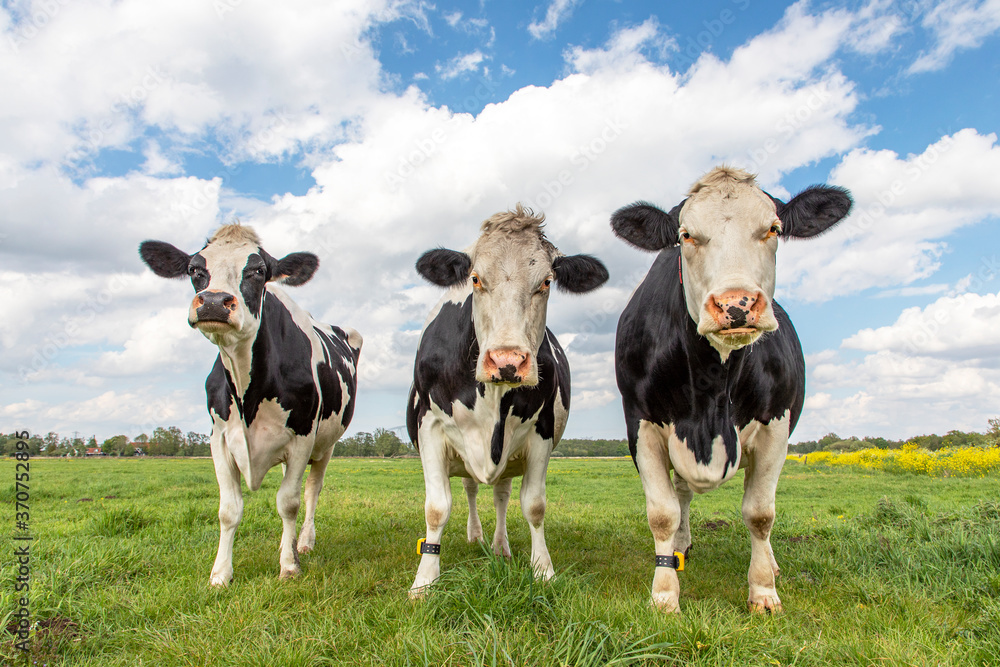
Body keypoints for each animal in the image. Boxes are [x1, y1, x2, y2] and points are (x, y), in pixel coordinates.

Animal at [139, 224, 362, 584]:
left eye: (258, 271)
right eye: (194, 269)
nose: (213, 302)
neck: (248, 390)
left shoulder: (302, 437)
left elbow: (289, 502)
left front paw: (288, 566)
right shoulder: (219, 439)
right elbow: (229, 510)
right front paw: (220, 574)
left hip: (325, 445)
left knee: (311, 490)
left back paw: (304, 542)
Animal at [406, 206, 608, 596]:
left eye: (546, 282)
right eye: (475, 279)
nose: (507, 361)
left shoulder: (541, 431)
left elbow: (534, 505)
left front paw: (543, 570)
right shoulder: (430, 426)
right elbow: (436, 508)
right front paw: (424, 581)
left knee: (500, 495)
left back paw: (499, 547)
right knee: (470, 488)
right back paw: (475, 536)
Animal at [608, 168, 852, 616]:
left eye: (773, 229)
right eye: (686, 235)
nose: (735, 305)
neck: (710, 390)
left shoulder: (776, 427)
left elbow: (760, 514)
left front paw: (764, 592)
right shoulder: (641, 424)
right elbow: (663, 513)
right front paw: (664, 594)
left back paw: (770, 564)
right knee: (683, 494)